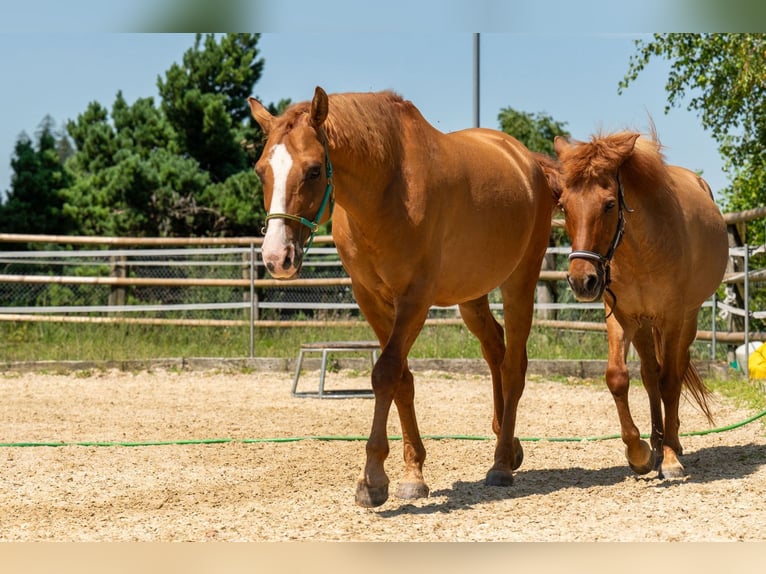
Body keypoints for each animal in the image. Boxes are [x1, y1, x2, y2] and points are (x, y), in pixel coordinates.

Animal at [248, 87, 554, 507]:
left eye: (312, 170)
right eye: (261, 171)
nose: (276, 257)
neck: (388, 188)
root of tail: (529, 163)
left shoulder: (414, 299)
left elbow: (385, 373)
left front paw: (373, 479)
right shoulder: (371, 299)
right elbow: (403, 380)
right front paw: (413, 474)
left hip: (519, 282)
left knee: (513, 367)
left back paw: (502, 463)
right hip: (471, 294)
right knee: (495, 348)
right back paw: (508, 444)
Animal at [539, 130, 728, 478]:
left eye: (609, 204)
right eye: (563, 205)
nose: (582, 280)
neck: (640, 251)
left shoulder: (672, 317)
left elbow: (670, 381)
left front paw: (670, 458)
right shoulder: (621, 316)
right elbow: (618, 377)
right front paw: (638, 452)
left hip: (687, 320)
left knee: (673, 371)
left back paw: (672, 444)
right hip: (643, 325)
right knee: (650, 374)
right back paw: (655, 444)